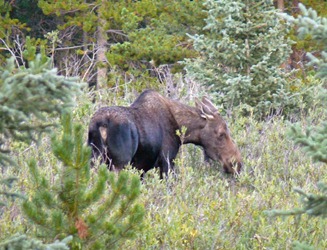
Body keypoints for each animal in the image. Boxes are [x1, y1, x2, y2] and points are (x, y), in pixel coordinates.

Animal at [88, 90, 242, 178]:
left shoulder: (142, 169)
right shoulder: (166, 161)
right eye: (221, 133)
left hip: (94, 159)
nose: (237, 164)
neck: (180, 130)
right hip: (119, 163)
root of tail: (102, 124)